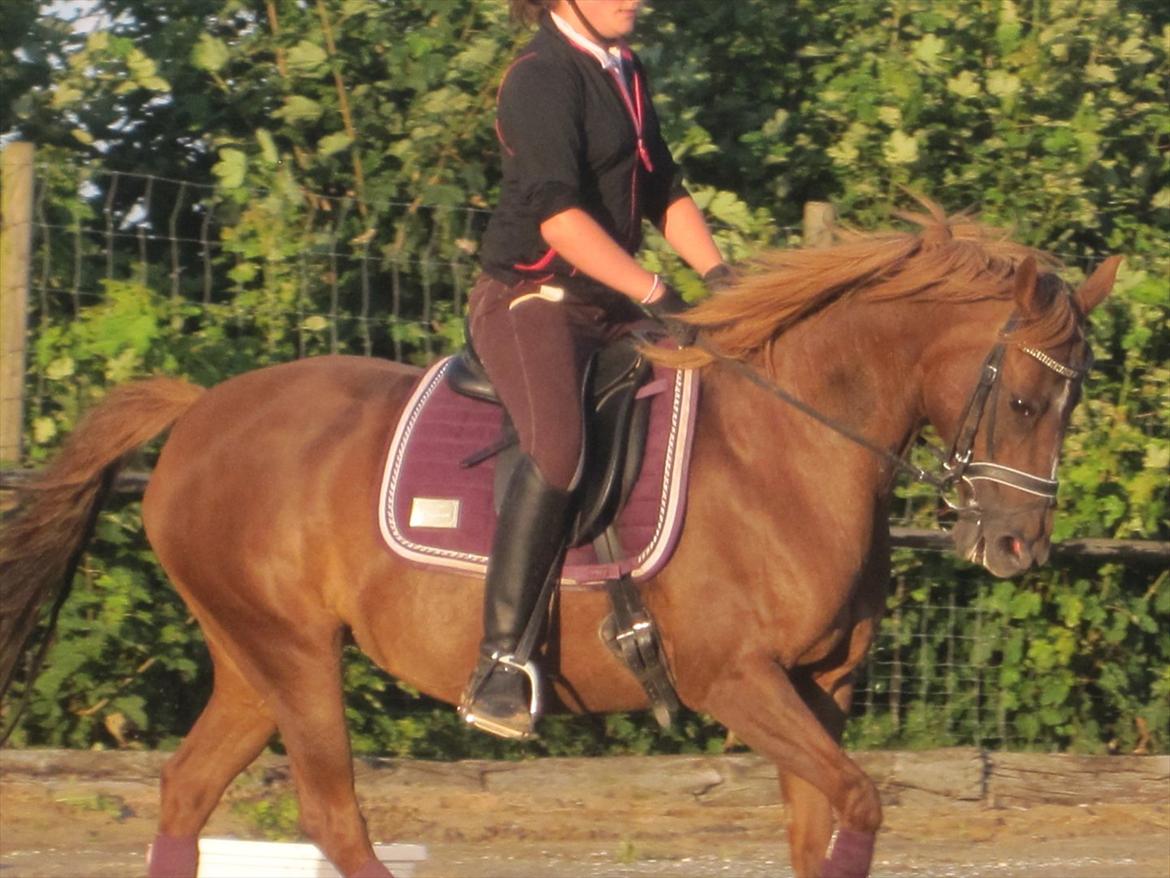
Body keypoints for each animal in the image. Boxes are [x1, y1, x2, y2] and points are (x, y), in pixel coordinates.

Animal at [0, 204, 1119, 878]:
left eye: (1069, 407)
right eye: (1025, 400)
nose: (1017, 548)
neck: (788, 448)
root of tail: (200, 412)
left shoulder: (819, 688)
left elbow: (827, 823)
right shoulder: (736, 680)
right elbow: (859, 802)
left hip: (250, 660)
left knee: (187, 790)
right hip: (295, 654)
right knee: (332, 815)